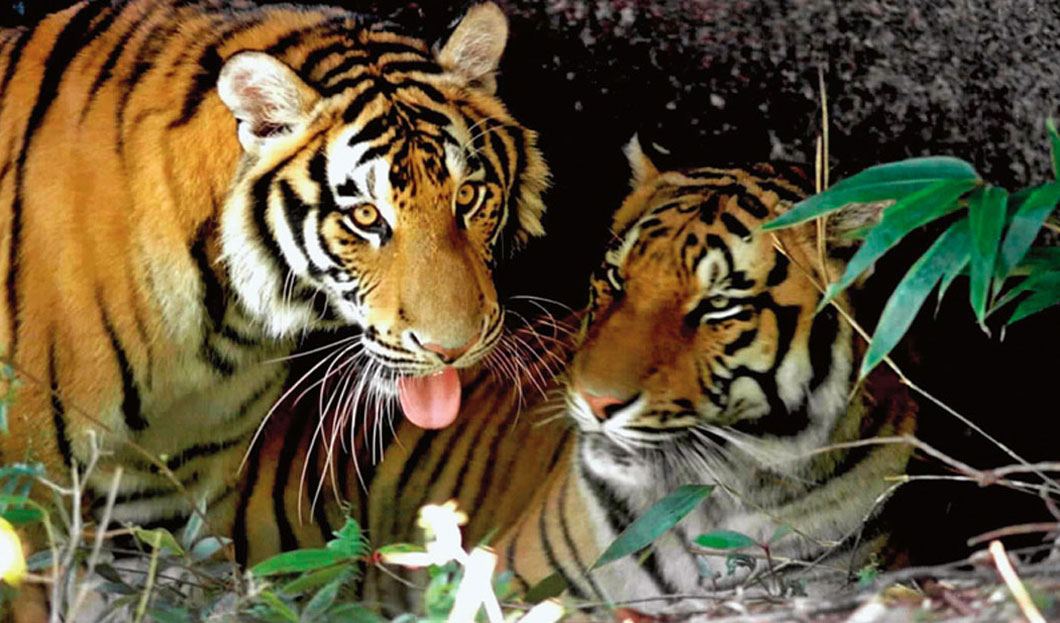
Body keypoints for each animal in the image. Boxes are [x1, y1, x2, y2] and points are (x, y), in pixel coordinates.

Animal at [0, 0, 547, 541]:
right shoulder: (29, 482)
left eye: (467, 196)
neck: (219, 331)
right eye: (366, 216)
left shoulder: (176, 480)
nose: (451, 351)